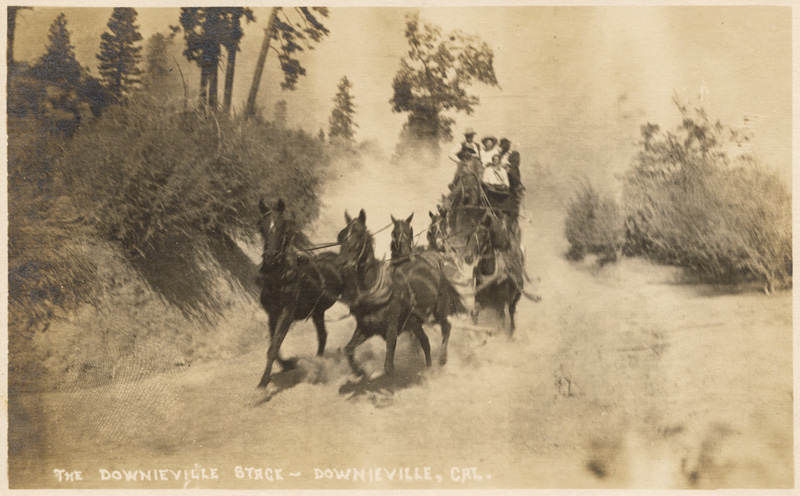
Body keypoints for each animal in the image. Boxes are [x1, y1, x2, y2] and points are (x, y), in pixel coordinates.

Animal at [256, 198, 344, 388]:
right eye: (262, 226)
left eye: (282, 226)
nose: (271, 256)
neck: (280, 278)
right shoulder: (272, 314)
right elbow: (273, 346)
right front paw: (288, 364)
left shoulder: (287, 313)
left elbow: (274, 346)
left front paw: (263, 383)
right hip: (318, 312)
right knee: (322, 336)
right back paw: (317, 368)